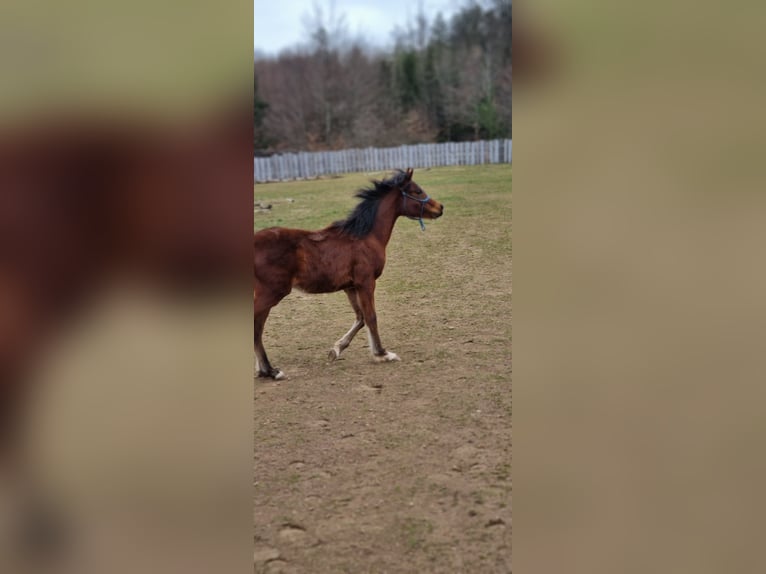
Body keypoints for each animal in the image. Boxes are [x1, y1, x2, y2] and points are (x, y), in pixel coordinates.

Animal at [255, 169, 444, 380]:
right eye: (417, 191)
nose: (440, 208)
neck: (365, 237)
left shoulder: (350, 287)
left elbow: (360, 318)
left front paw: (336, 350)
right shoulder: (366, 283)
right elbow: (371, 317)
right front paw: (382, 354)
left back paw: (265, 369)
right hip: (270, 294)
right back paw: (270, 370)